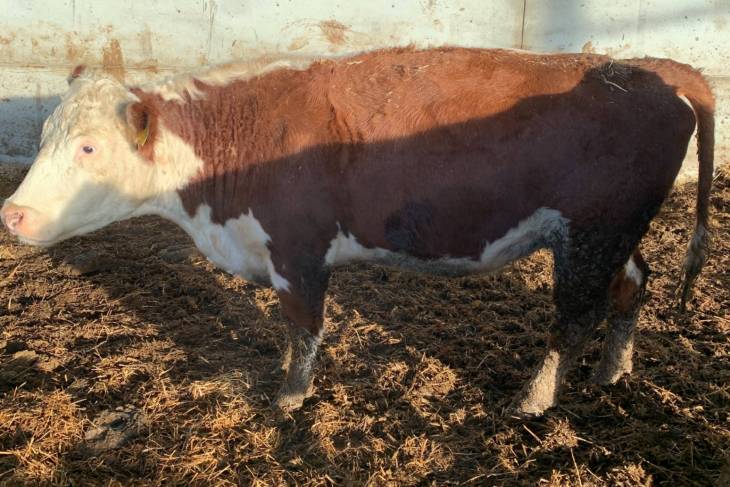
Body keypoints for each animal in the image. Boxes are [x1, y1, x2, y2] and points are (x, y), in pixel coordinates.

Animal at [1, 47, 714, 416]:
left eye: (89, 147)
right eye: (47, 134)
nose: (12, 214)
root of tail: (645, 69)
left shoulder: (299, 251)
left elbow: (304, 328)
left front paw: (290, 396)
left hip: (590, 235)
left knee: (572, 319)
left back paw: (536, 399)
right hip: (614, 236)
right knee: (634, 285)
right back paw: (614, 372)